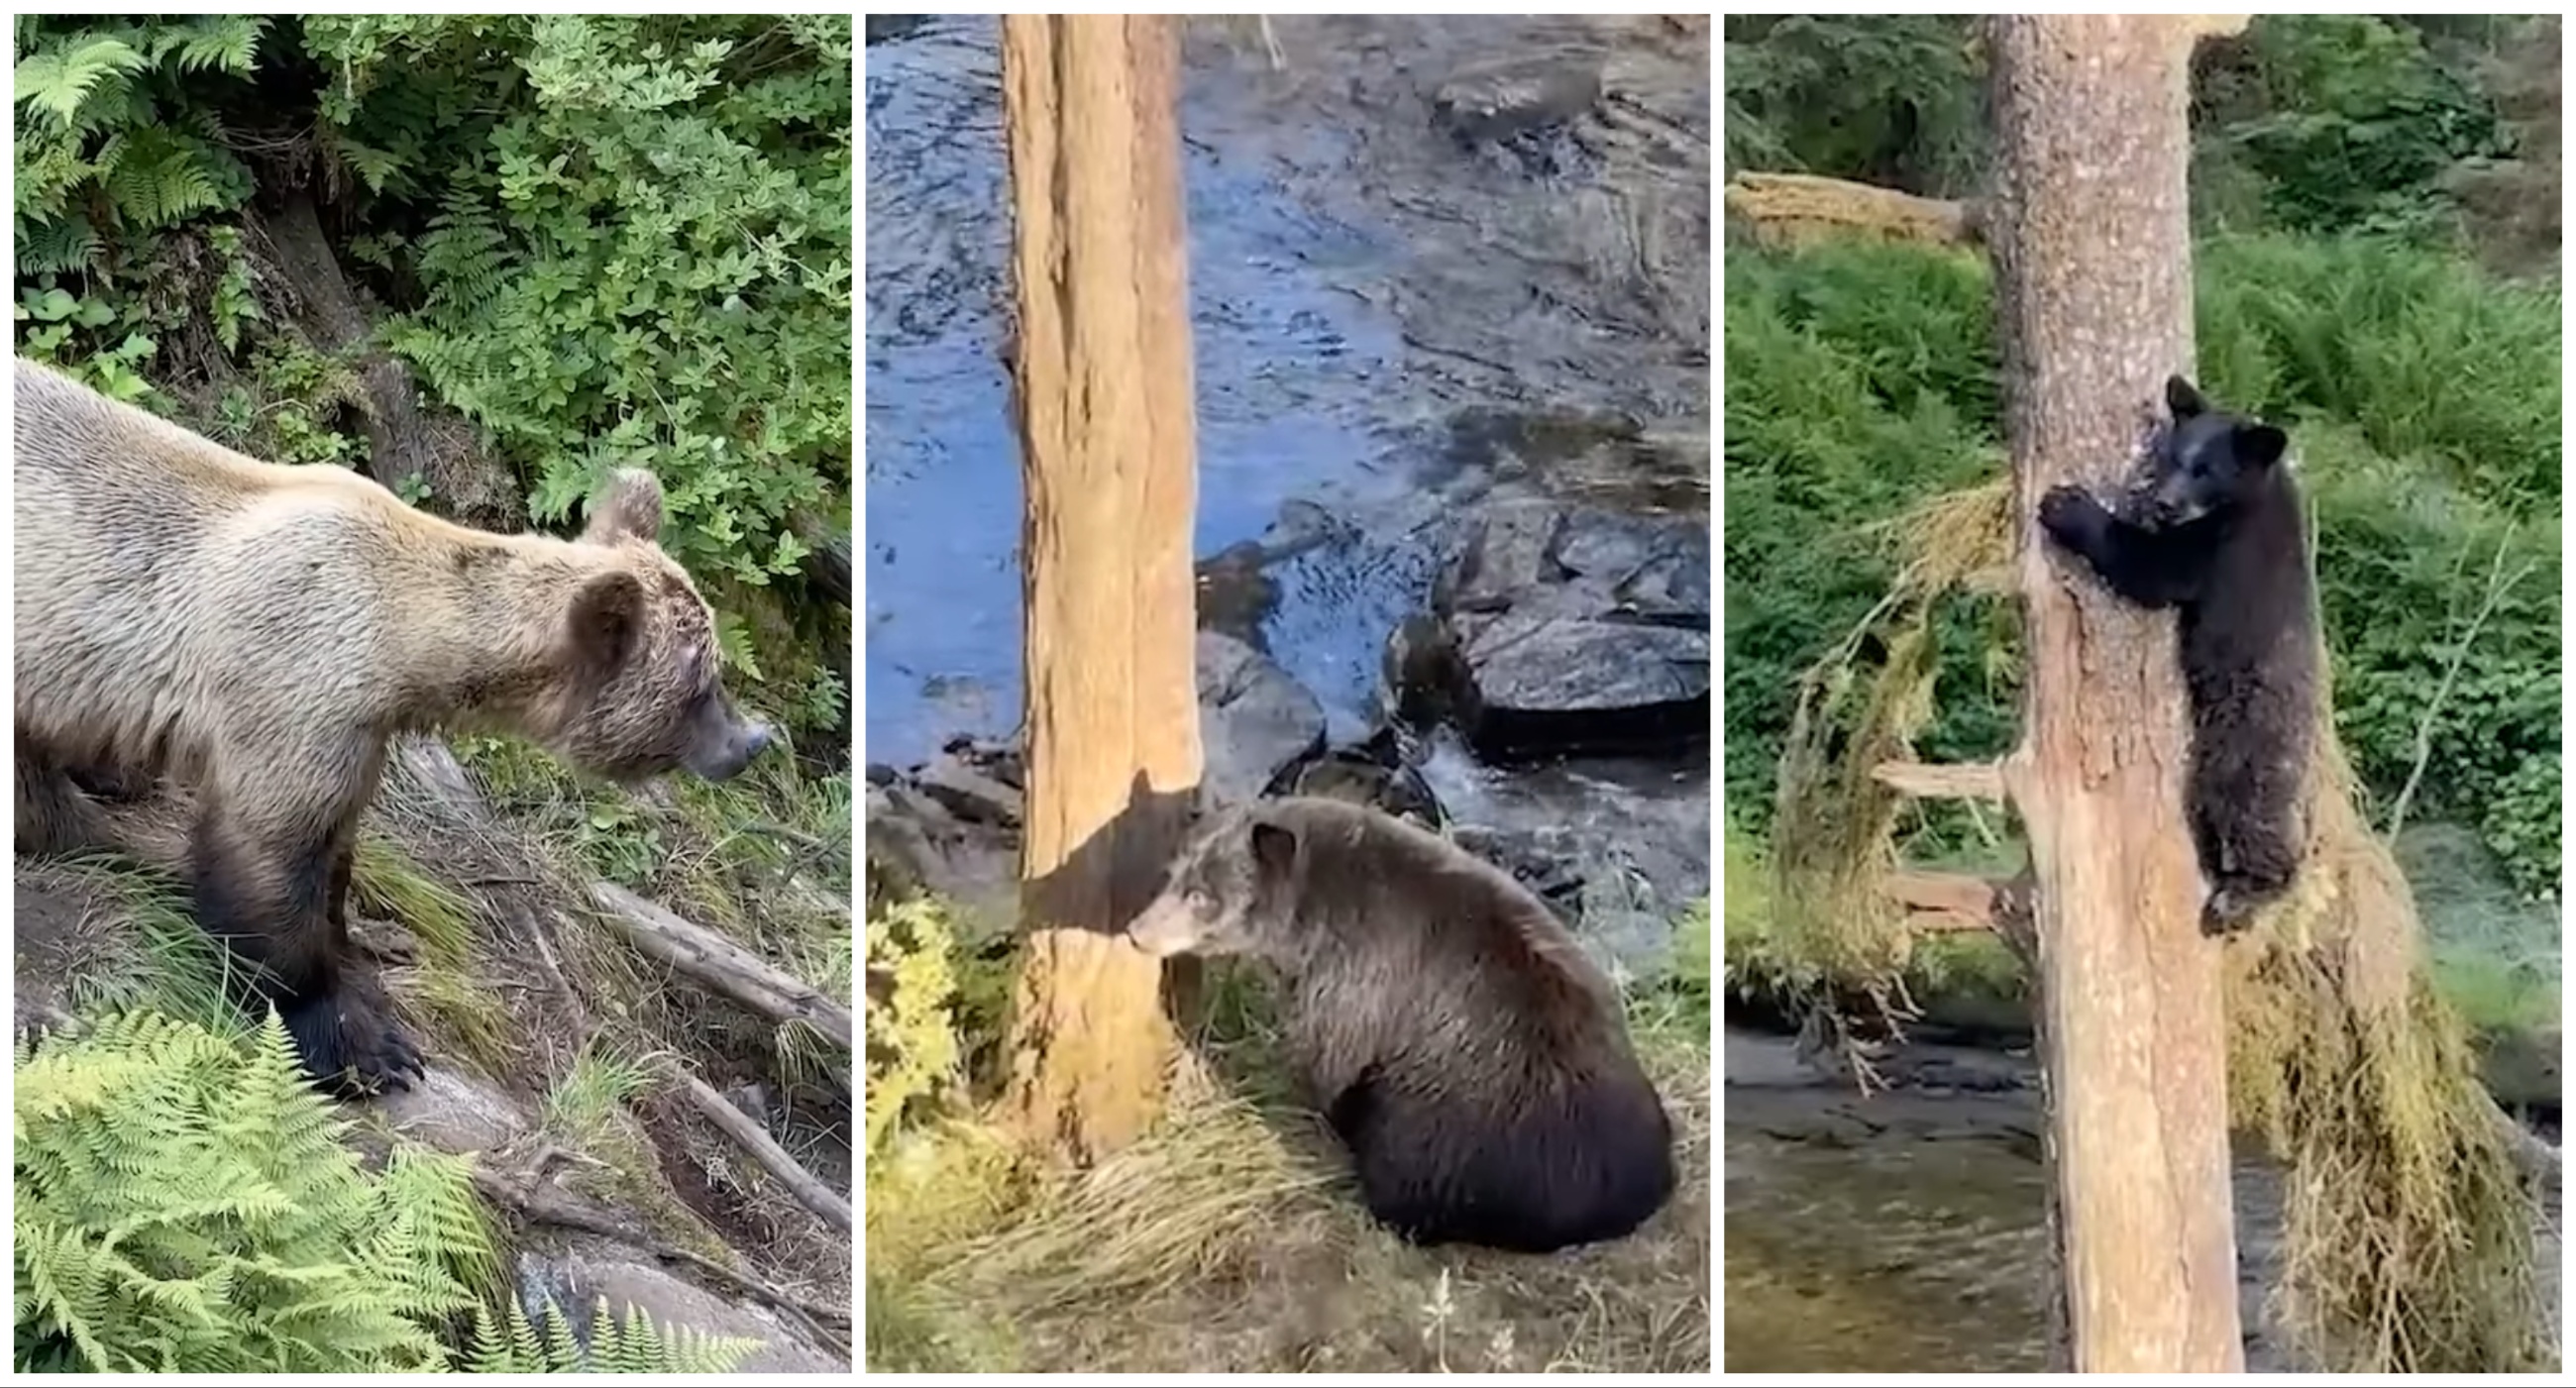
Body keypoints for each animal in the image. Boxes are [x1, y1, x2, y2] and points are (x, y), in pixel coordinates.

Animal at [15, 355, 773, 1097]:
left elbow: (334, 847)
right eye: (701, 685)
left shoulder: (362, 730)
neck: (402, 647)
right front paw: (358, 1039)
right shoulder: (293, 685)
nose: (752, 742)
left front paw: (353, 940)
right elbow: (268, 857)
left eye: (714, 669)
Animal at [1127, 793, 1668, 1261]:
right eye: (1173, 873)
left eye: (1201, 895)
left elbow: (1332, 1059)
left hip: (1455, 1126)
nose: (1136, 931)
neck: (1311, 914)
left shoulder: (1356, 983)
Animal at [2040, 375, 2328, 937]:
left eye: (2205, 470)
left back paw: (2243, 894)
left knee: (2244, 806)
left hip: (2246, 738)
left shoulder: (2218, 550)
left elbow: (2150, 567)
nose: (2164, 503)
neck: (2249, 497)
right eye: (2174, 456)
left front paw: (2065, 506)